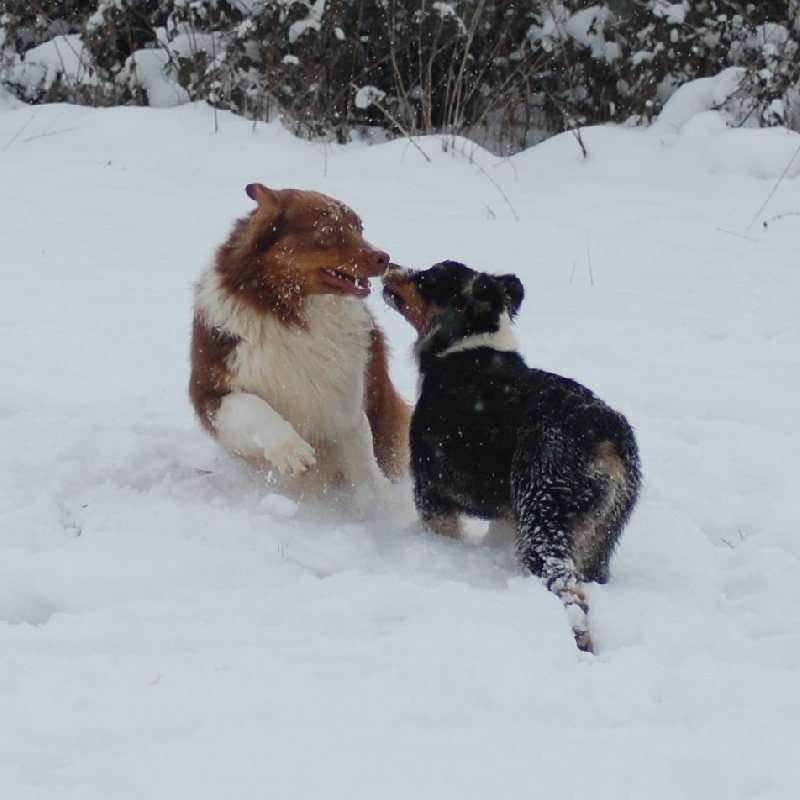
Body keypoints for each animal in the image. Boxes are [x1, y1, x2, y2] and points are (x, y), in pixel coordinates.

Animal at [189, 184, 411, 498]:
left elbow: (364, 467)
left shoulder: (347, 406)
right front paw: (291, 451)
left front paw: (380, 502)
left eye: (359, 227)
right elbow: (254, 407)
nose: (385, 258)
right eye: (328, 230)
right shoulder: (212, 392)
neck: (291, 315)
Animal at [382, 260, 641, 651]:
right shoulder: (507, 512)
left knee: (570, 593)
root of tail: (606, 435)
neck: (467, 347)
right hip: (601, 535)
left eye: (428, 278)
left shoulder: (431, 489)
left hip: (544, 512)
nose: (389, 265)